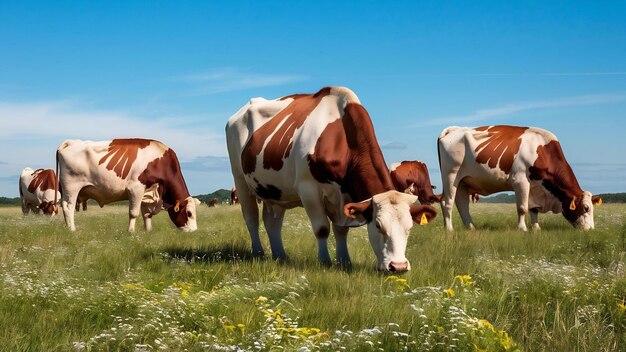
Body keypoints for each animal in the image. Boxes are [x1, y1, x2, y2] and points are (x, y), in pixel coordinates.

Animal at [58, 139, 197, 232]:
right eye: (189, 213)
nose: (194, 230)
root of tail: (70, 142)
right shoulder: (136, 188)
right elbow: (133, 213)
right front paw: (131, 232)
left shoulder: (148, 193)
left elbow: (147, 214)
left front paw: (148, 230)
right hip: (71, 187)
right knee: (68, 207)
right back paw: (72, 229)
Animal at [224, 86, 434, 270]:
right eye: (378, 225)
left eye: (409, 228)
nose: (398, 266)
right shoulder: (307, 189)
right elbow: (322, 228)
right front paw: (324, 261)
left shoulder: (345, 196)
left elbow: (341, 230)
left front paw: (344, 261)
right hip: (240, 180)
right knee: (251, 218)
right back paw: (258, 253)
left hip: (274, 190)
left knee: (272, 222)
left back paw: (280, 256)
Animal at [434, 126, 600, 231]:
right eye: (586, 208)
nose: (590, 230)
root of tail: (452, 129)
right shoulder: (520, 181)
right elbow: (522, 208)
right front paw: (522, 229)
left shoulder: (535, 188)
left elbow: (533, 210)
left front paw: (536, 228)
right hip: (451, 176)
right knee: (447, 202)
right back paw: (449, 229)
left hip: (463, 181)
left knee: (462, 204)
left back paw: (471, 227)